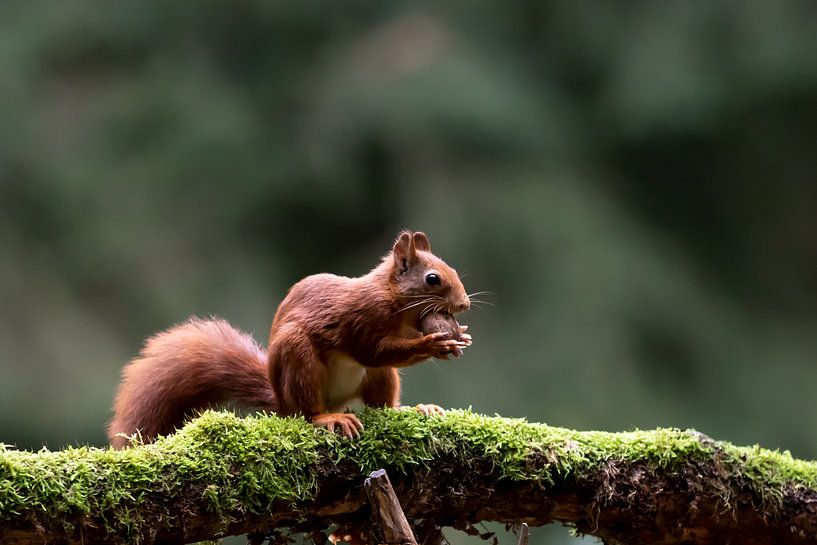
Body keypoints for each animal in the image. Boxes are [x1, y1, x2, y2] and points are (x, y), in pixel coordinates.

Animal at [107, 230, 472, 446]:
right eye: (433, 279)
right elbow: (372, 351)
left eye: (453, 270)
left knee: (382, 404)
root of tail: (281, 401)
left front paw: (460, 337)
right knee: (307, 412)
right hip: (299, 360)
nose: (465, 304)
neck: (397, 305)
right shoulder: (363, 319)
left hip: (377, 379)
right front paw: (434, 344)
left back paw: (414, 409)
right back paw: (328, 418)